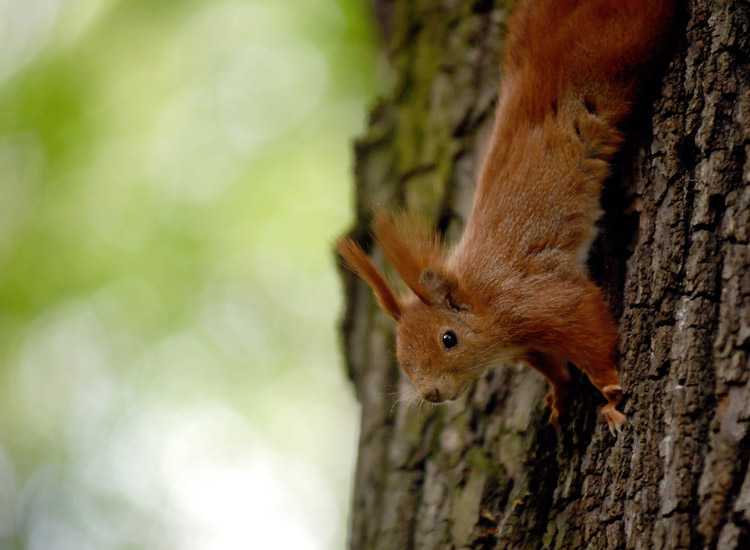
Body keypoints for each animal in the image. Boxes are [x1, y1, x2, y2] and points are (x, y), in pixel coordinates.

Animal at [337, 0, 673, 434]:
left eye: (449, 339)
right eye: (401, 357)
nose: (431, 394)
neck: (483, 301)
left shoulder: (541, 300)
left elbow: (591, 335)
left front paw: (611, 395)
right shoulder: (527, 344)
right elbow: (551, 367)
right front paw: (559, 394)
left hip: (624, 44)